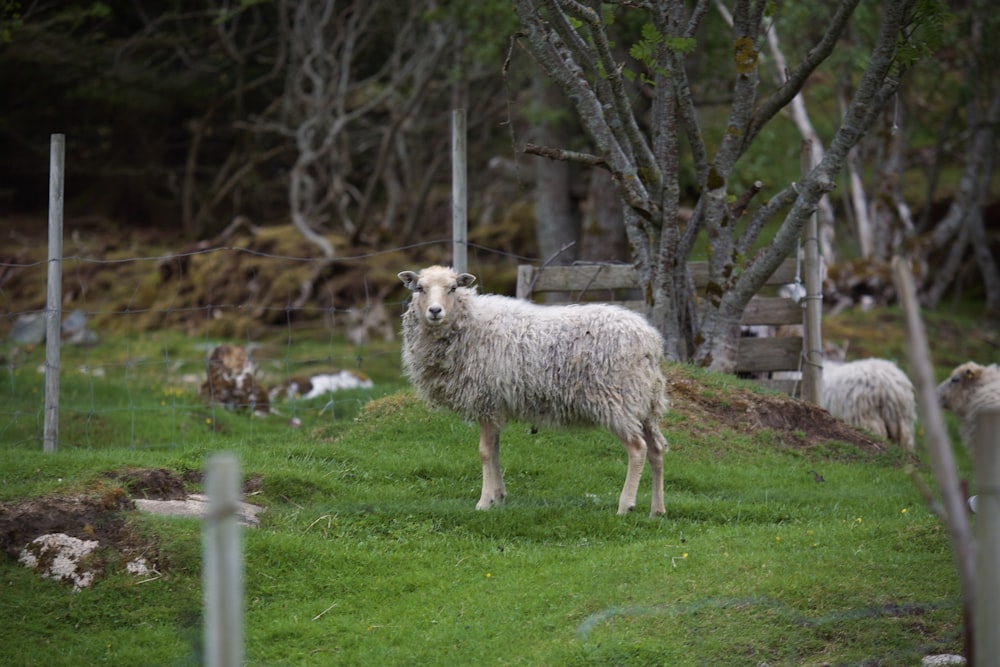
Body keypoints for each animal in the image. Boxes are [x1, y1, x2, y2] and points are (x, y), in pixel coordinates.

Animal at [394, 264, 668, 516]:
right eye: (419, 288)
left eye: (452, 288)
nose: (435, 311)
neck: (469, 322)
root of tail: (650, 341)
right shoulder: (496, 405)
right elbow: (495, 452)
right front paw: (499, 497)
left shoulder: (485, 399)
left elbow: (484, 453)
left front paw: (484, 502)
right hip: (644, 402)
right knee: (656, 449)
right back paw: (657, 510)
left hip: (616, 399)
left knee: (638, 449)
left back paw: (625, 506)